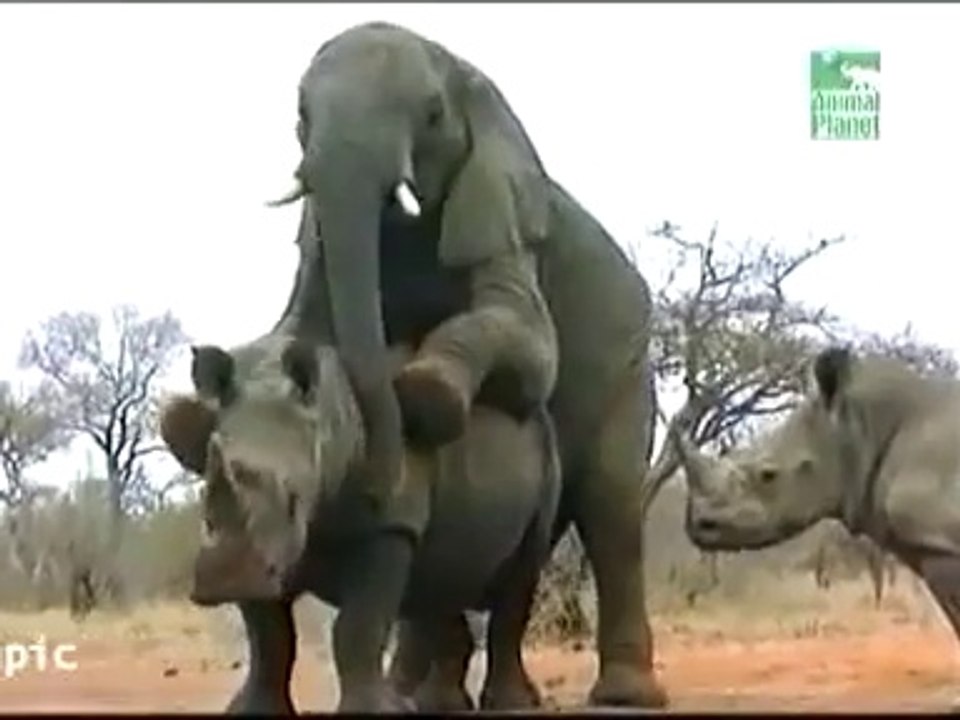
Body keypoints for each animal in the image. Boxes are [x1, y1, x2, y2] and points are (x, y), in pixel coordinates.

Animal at [159, 334, 561, 712]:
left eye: (293, 500)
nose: (224, 580)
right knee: (441, 573)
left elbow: (357, 625)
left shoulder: (390, 520)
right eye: (204, 498)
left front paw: (375, 710)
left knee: (521, 572)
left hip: (546, 460)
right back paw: (439, 704)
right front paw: (252, 710)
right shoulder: (267, 556)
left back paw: (513, 703)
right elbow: (268, 635)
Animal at [265, 22, 664, 708]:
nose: (373, 490)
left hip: (629, 366)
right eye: (300, 115)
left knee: (611, 509)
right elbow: (302, 328)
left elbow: (529, 343)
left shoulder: (501, 210)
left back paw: (624, 697)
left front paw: (424, 392)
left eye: (430, 113)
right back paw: (422, 693)